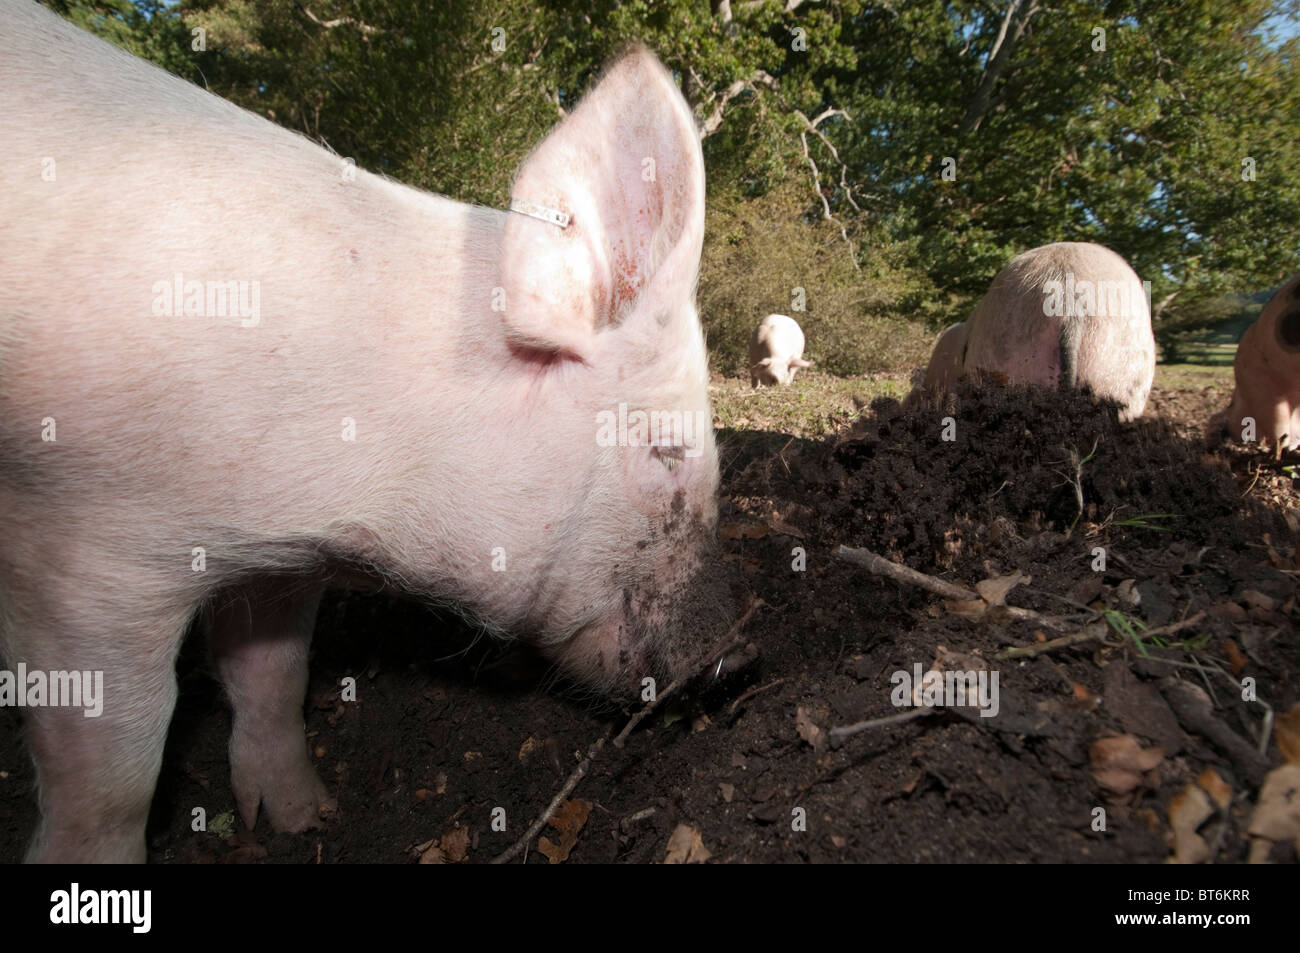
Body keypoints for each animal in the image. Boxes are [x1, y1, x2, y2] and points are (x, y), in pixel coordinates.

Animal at [0, 0, 733, 863]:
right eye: (666, 451)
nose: (736, 651)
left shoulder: (273, 560)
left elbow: (274, 672)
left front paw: (304, 818)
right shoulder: (86, 553)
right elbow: (115, 773)